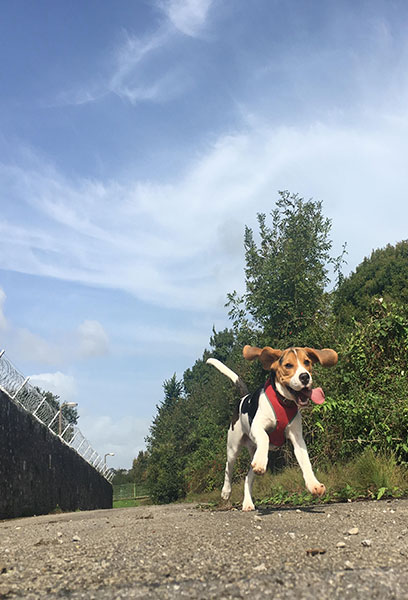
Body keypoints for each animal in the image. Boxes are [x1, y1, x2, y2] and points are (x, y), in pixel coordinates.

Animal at [207, 346, 338, 510]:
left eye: (307, 362)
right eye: (288, 365)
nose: (305, 377)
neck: (283, 401)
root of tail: (244, 397)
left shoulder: (297, 440)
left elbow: (306, 462)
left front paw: (313, 484)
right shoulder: (257, 427)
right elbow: (265, 436)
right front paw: (261, 461)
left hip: (253, 453)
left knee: (248, 477)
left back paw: (248, 502)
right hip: (233, 448)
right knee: (228, 468)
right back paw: (226, 491)